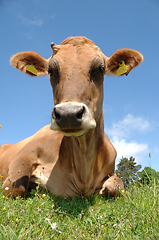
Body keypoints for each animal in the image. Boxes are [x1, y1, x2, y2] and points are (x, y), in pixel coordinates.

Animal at [0, 35, 143, 197]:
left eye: (100, 69)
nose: (68, 114)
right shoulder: (24, 156)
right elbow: (13, 187)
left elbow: (117, 186)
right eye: (51, 71)